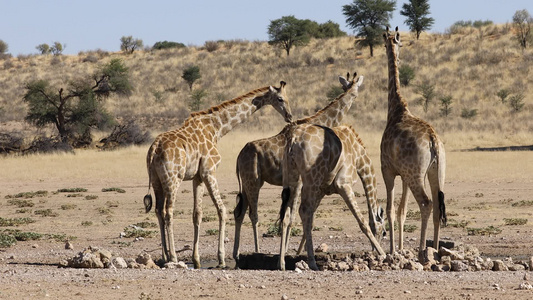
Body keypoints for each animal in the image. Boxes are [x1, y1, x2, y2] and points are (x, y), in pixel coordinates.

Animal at [143, 81, 290, 268]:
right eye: (280, 99)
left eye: (287, 98)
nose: (289, 116)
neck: (217, 128)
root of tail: (153, 150)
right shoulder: (209, 171)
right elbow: (222, 209)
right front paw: (221, 258)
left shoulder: (197, 177)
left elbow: (197, 214)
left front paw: (196, 260)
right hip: (173, 178)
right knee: (168, 211)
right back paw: (174, 257)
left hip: (156, 179)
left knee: (158, 210)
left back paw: (164, 256)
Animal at [278, 123, 386, 270]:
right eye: (384, 232)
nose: (373, 251)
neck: (358, 156)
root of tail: (293, 138)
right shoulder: (343, 184)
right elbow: (362, 221)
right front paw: (383, 253)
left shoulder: (323, 189)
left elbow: (311, 220)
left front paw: (299, 250)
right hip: (311, 178)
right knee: (303, 210)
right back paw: (312, 263)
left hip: (292, 175)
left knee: (288, 214)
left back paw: (281, 262)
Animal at [380, 27, 446, 262]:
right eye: (397, 43)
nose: (396, 51)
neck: (396, 109)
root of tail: (433, 140)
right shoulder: (404, 175)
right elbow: (402, 210)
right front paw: (398, 249)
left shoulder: (388, 170)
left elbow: (391, 209)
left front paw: (392, 250)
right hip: (436, 172)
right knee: (437, 205)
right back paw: (435, 249)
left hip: (416, 174)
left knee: (426, 203)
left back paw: (421, 251)